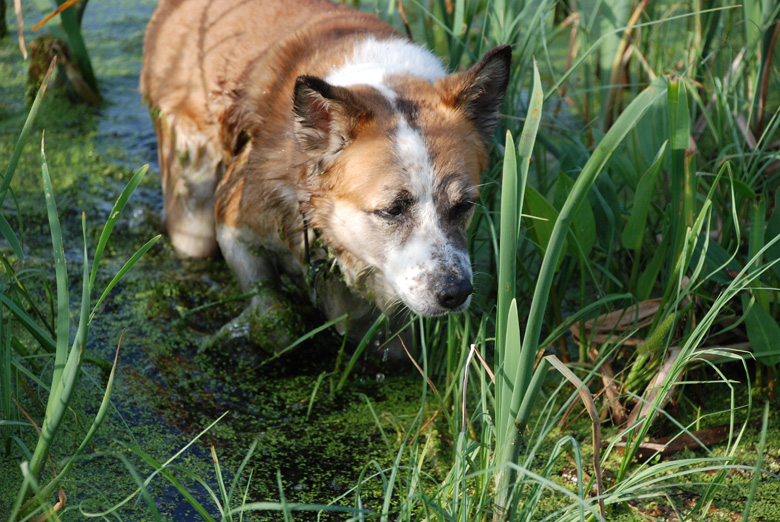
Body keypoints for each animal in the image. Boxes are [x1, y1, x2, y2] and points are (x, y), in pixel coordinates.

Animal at [140, 0, 512, 340]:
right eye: (393, 210)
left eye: (464, 205)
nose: (456, 293)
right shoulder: (235, 224)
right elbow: (270, 307)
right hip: (191, 197)